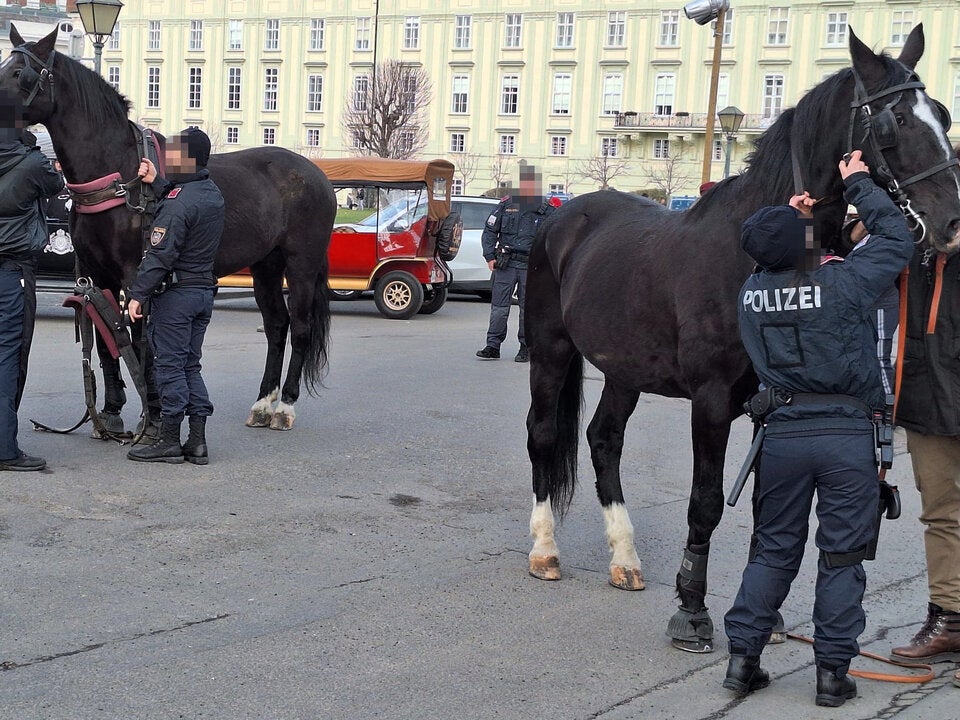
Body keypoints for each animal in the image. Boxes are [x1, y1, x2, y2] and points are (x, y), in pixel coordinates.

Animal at [0, 25, 336, 432]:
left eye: (20, 73)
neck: (118, 174)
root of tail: (317, 174)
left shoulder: (137, 274)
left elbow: (138, 337)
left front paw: (154, 412)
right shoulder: (97, 276)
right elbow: (107, 338)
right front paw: (111, 412)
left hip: (301, 265)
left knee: (300, 327)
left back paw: (284, 405)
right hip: (266, 266)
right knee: (276, 325)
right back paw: (263, 403)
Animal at [524, 24, 960, 653]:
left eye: (944, 116)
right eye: (894, 120)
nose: (951, 223)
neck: (758, 247)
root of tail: (562, 217)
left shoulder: (771, 405)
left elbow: (766, 504)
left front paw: (767, 616)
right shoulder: (710, 402)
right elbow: (706, 503)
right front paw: (692, 610)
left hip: (625, 370)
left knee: (604, 440)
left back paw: (624, 557)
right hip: (551, 351)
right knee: (541, 436)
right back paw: (544, 549)